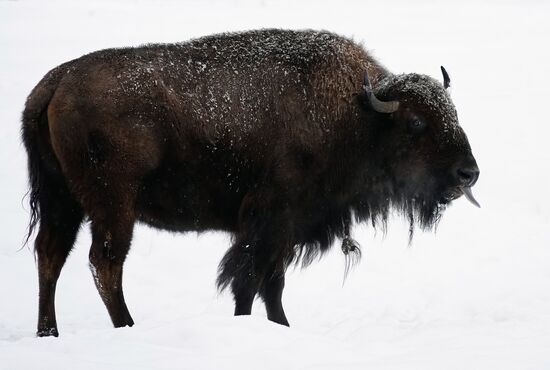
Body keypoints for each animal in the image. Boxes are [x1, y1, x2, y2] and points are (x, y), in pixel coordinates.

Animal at [21, 28, 478, 336]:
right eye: (416, 122)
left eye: (454, 114)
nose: (469, 173)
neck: (358, 116)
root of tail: (55, 83)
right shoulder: (272, 223)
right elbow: (251, 281)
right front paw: (255, 325)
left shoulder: (284, 232)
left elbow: (270, 285)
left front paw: (280, 327)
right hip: (113, 206)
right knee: (105, 263)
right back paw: (127, 326)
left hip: (64, 201)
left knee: (51, 254)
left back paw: (49, 332)